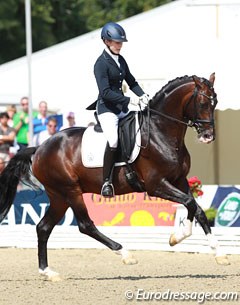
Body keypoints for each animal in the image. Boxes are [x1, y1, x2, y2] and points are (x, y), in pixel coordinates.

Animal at [0, 72, 229, 280]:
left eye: (216, 102)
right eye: (202, 102)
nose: (208, 136)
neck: (160, 132)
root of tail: (39, 148)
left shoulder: (179, 180)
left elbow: (195, 208)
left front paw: (198, 245)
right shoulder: (156, 185)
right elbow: (191, 204)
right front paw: (186, 240)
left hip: (59, 196)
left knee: (43, 227)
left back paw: (48, 272)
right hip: (70, 191)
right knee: (85, 225)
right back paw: (126, 254)